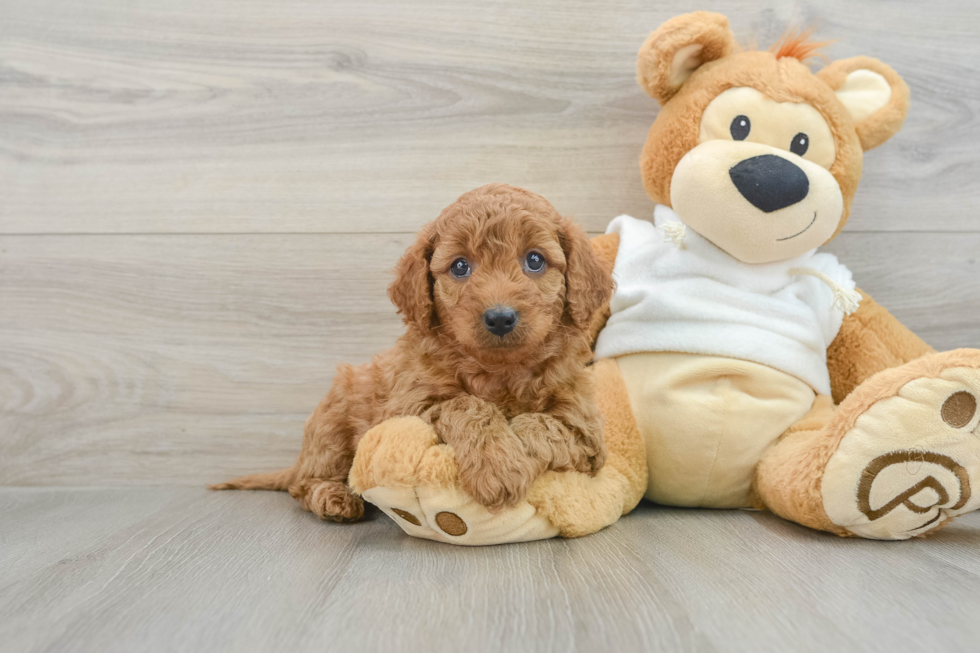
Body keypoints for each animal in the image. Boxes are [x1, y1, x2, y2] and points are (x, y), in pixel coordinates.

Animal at [212, 183, 612, 520]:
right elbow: (466, 404)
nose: (499, 317)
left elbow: (535, 423)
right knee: (303, 483)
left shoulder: (585, 433)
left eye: (535, 260)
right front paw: (497, 465)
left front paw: (508, 462)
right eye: (460, 266)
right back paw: (334, 498)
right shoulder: (407, 407)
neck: (500, 371)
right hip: (332, 422)